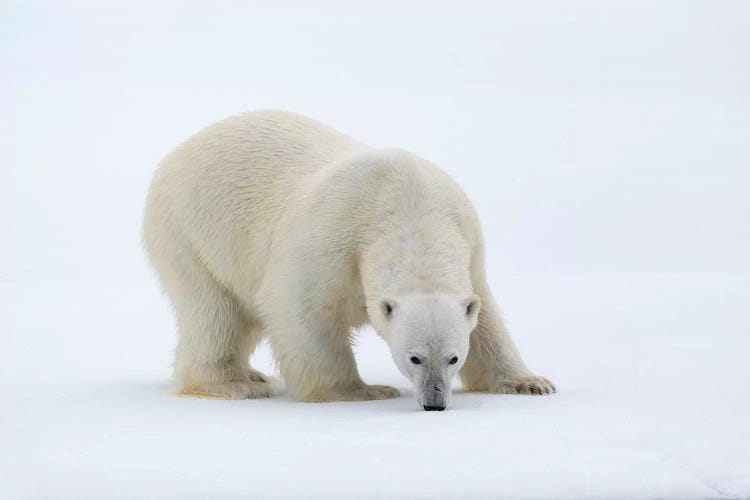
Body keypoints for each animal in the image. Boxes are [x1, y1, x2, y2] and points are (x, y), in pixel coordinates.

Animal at [144, 110, 556, 410]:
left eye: (453, 358)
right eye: (414, 358)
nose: (434, 403)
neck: (407, 204)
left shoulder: (467, 242)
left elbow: (486, 321)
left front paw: (530, 383)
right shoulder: (333, 236)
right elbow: (298, 306)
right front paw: (363, 390)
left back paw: (253, 376)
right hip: (191, 233)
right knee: (215, 313)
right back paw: (234, 383)